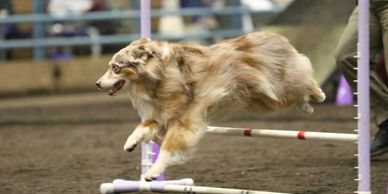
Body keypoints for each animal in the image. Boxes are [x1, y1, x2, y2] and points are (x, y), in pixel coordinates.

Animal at [95, 31, 326, 181]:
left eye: (116, 68)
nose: (97, 83)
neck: (157, 77)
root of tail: (275, 35)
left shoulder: (184, 121)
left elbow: (168, 146)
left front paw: (153, 171)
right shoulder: (160, 115)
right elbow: (142, 126)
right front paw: (131, 142)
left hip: (280, 83)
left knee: (304, 77)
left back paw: (319, 94)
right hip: (262, 100)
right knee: (293, 97)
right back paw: (306, 107)